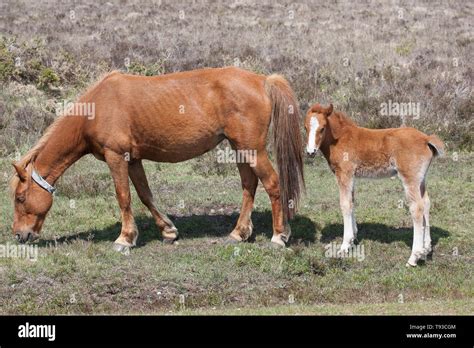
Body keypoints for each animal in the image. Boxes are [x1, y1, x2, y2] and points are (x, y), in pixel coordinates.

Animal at [306, 103, 446, 266]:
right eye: (305, 127)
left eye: (322, 128)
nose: (310, 152)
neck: (339, 138)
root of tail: (426, 138)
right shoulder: (352, 176)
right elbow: (352, 202)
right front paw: (353, 237)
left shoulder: (344, 174)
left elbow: (345, 204)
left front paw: (345, 246)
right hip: (421, 180)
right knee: (426, 204)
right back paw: (427, 248)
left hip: (410, 178)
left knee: (417, 208)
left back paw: (414, 256)